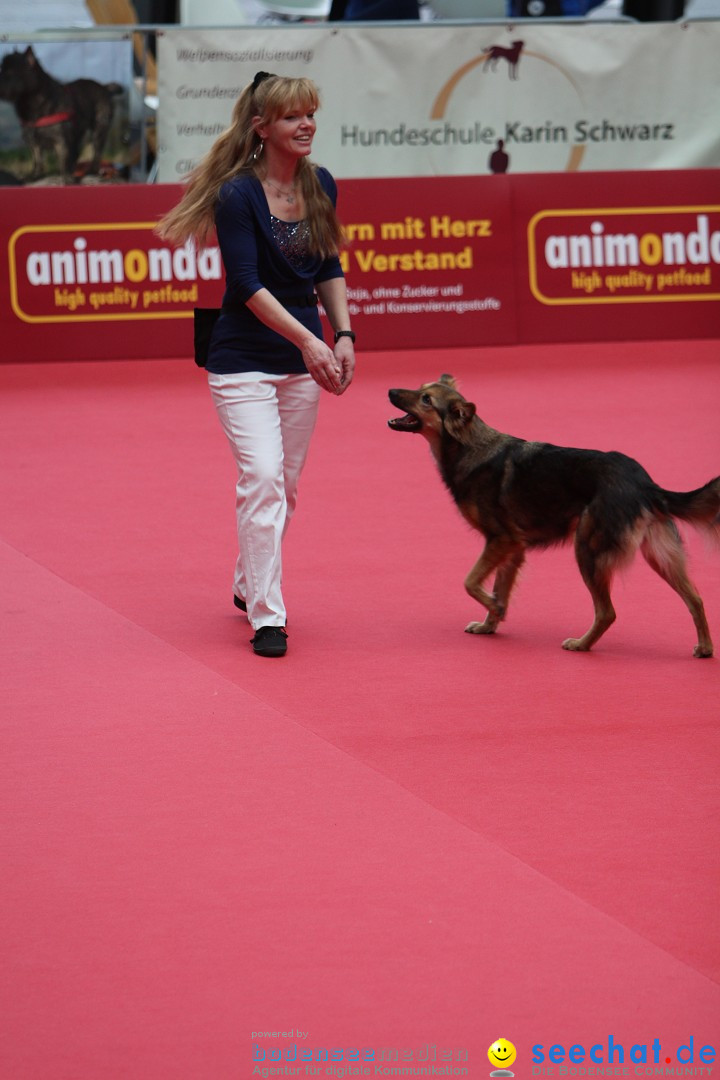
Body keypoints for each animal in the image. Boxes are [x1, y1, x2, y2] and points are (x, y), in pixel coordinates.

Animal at [390, 375, 720, 652]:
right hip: (660, 557)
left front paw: (496, 609)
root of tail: (645, 483)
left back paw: (581, 645)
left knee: (607, 612)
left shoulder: (501, 540)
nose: (391, 391)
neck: (469, 445)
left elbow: (470, 582)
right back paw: (705, 648)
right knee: (696, 599)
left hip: (587, 550)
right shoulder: (513, 549)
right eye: (420, 388)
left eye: (426, 400)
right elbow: (498, 587)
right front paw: (490, 623)